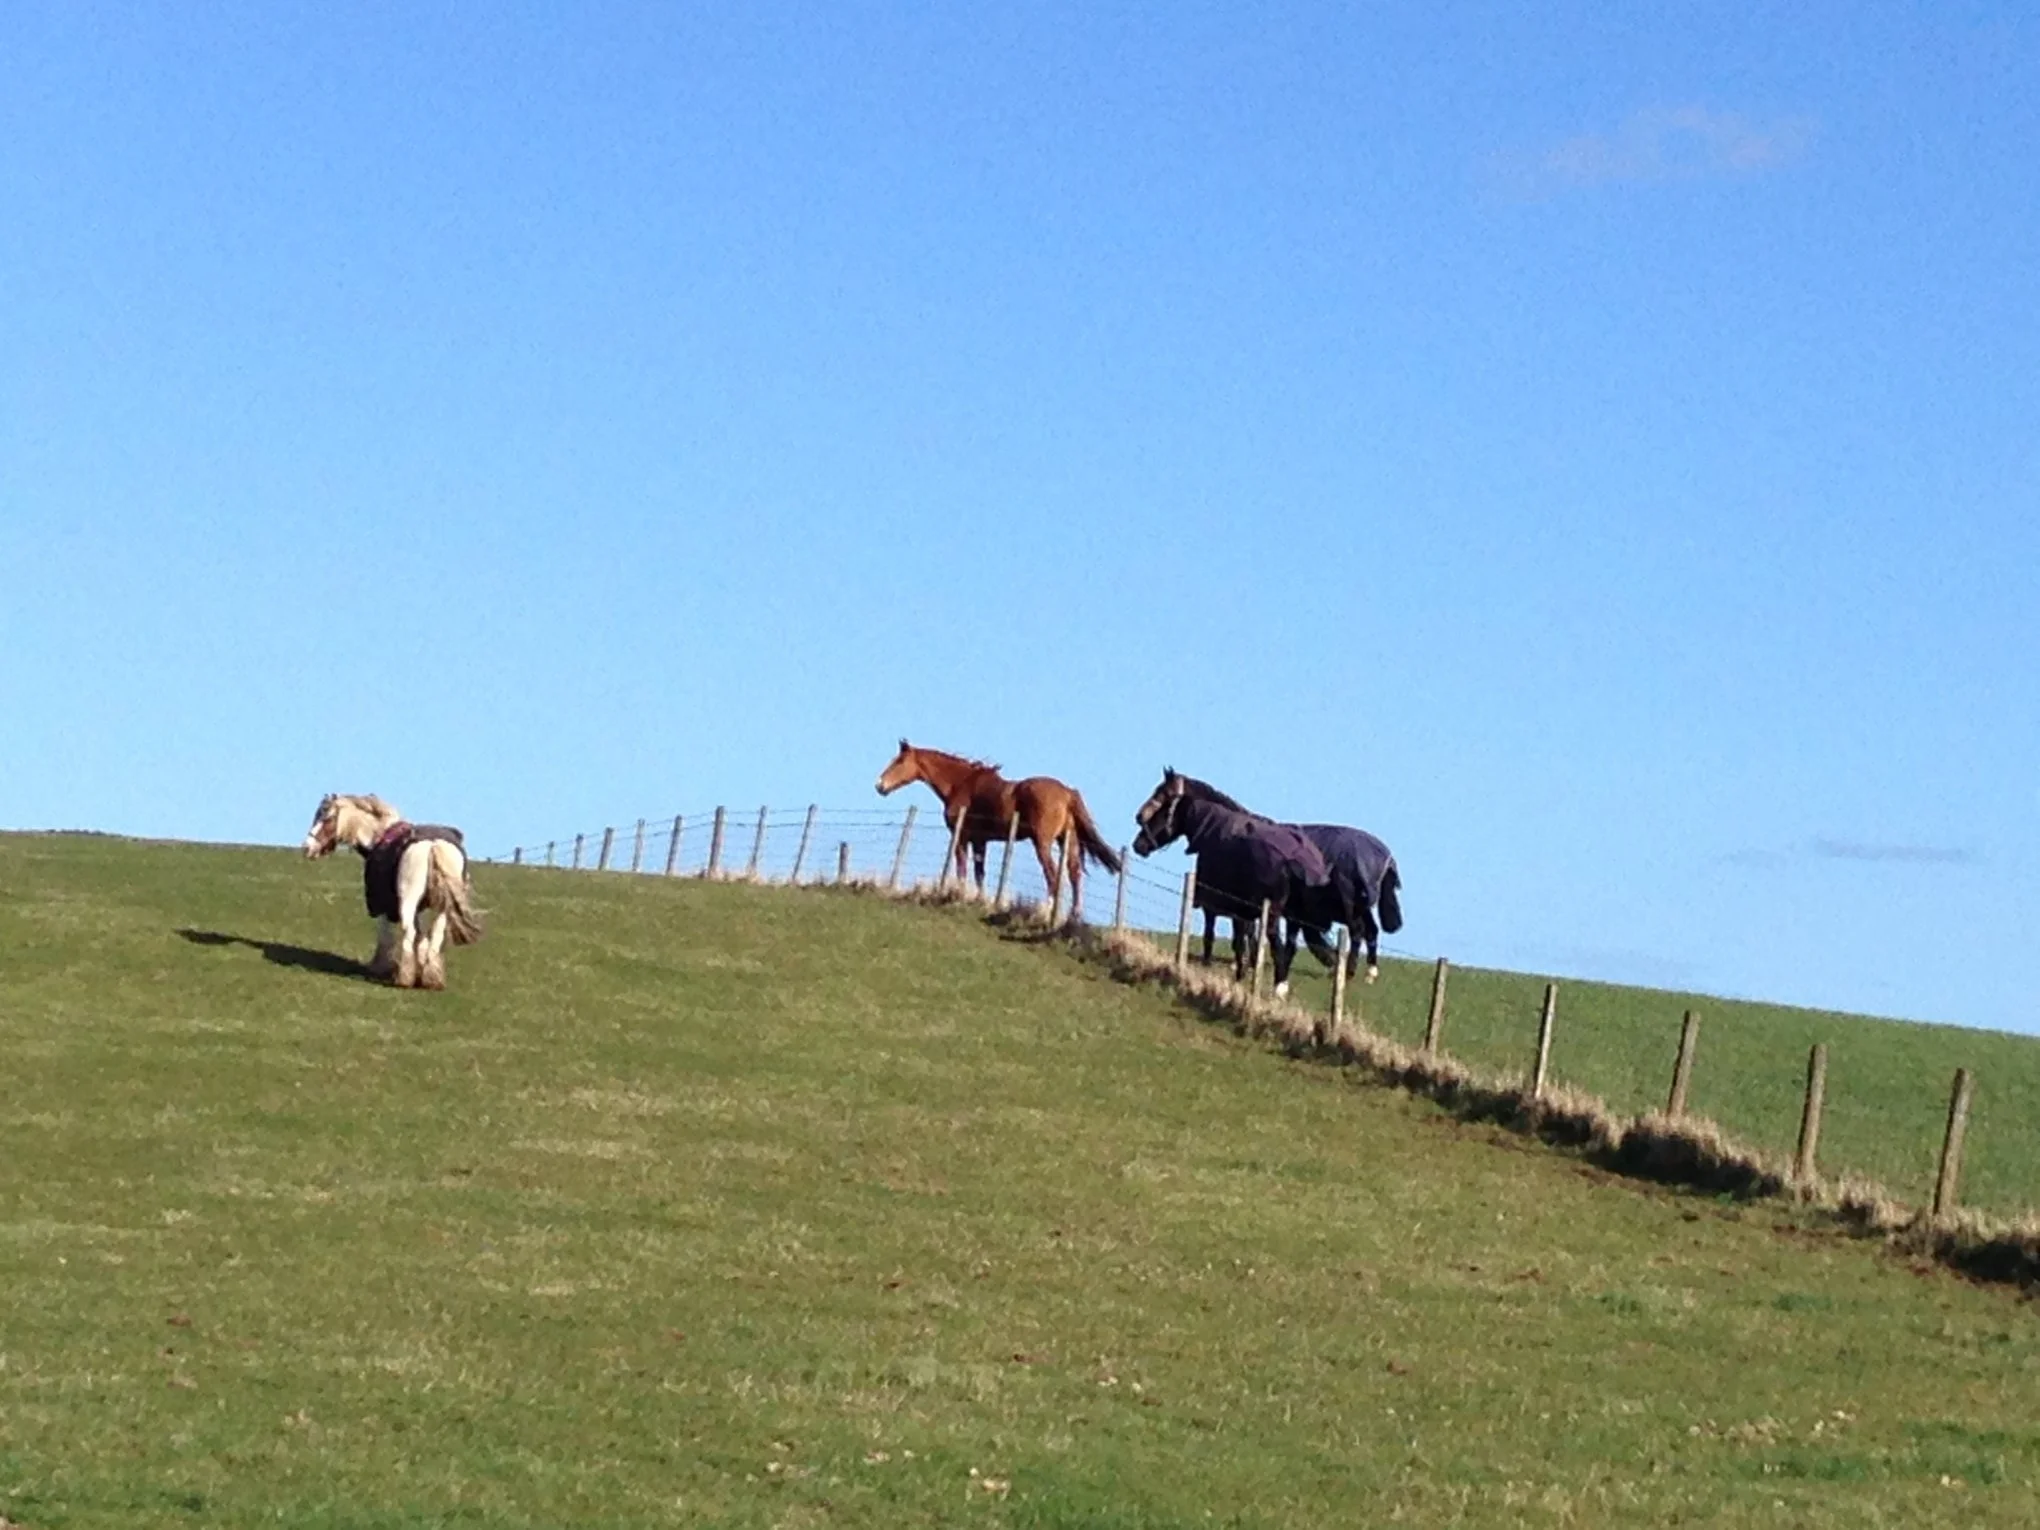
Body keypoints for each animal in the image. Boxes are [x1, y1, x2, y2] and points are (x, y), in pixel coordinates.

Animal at [300, 793, 484, 989]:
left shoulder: (382, 905)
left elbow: (386, 935)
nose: (307, 848)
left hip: (408, 902)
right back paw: (432, 979)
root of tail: (432, 845)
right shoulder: (420, 910)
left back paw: (404, 978)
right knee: (435, 935)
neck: (379, 837)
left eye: (327, 818)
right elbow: (421, 938)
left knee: (408, 931)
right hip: (441, 908)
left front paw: (382, 967)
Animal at [874, 740, 1122, 919]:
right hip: (1067, 841)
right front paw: (980, 900)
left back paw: (1047, 910)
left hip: (1042, 842)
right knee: (1074, 873)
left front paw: (960, 895)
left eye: (899, 761)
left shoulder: (961, 837)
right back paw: (1073, 915)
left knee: (1052, 875)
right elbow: (979, 873)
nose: (879, 785)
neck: (961, 783)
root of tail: (1067, 792)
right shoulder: (980, 841)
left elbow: (962, 868)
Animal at [1131, 769, 1329, 994]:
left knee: (1275, 943)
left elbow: (1216, 939)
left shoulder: (1216, 907)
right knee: (1289, 945)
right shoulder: (1243, 914)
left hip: (1272, 914)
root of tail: (1291, 859)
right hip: (1292, 918)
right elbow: (1247, 945)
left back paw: (1278, 988)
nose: (1138, 844)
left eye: (1162, 796)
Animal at [1159, 772, 1404, 982]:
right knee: (1370, 930)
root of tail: (1386, 856)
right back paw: (1367, 971)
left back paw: (1349, 971)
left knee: (1358, 931)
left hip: (1350, 907)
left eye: (1162, 798)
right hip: (1360, 905)